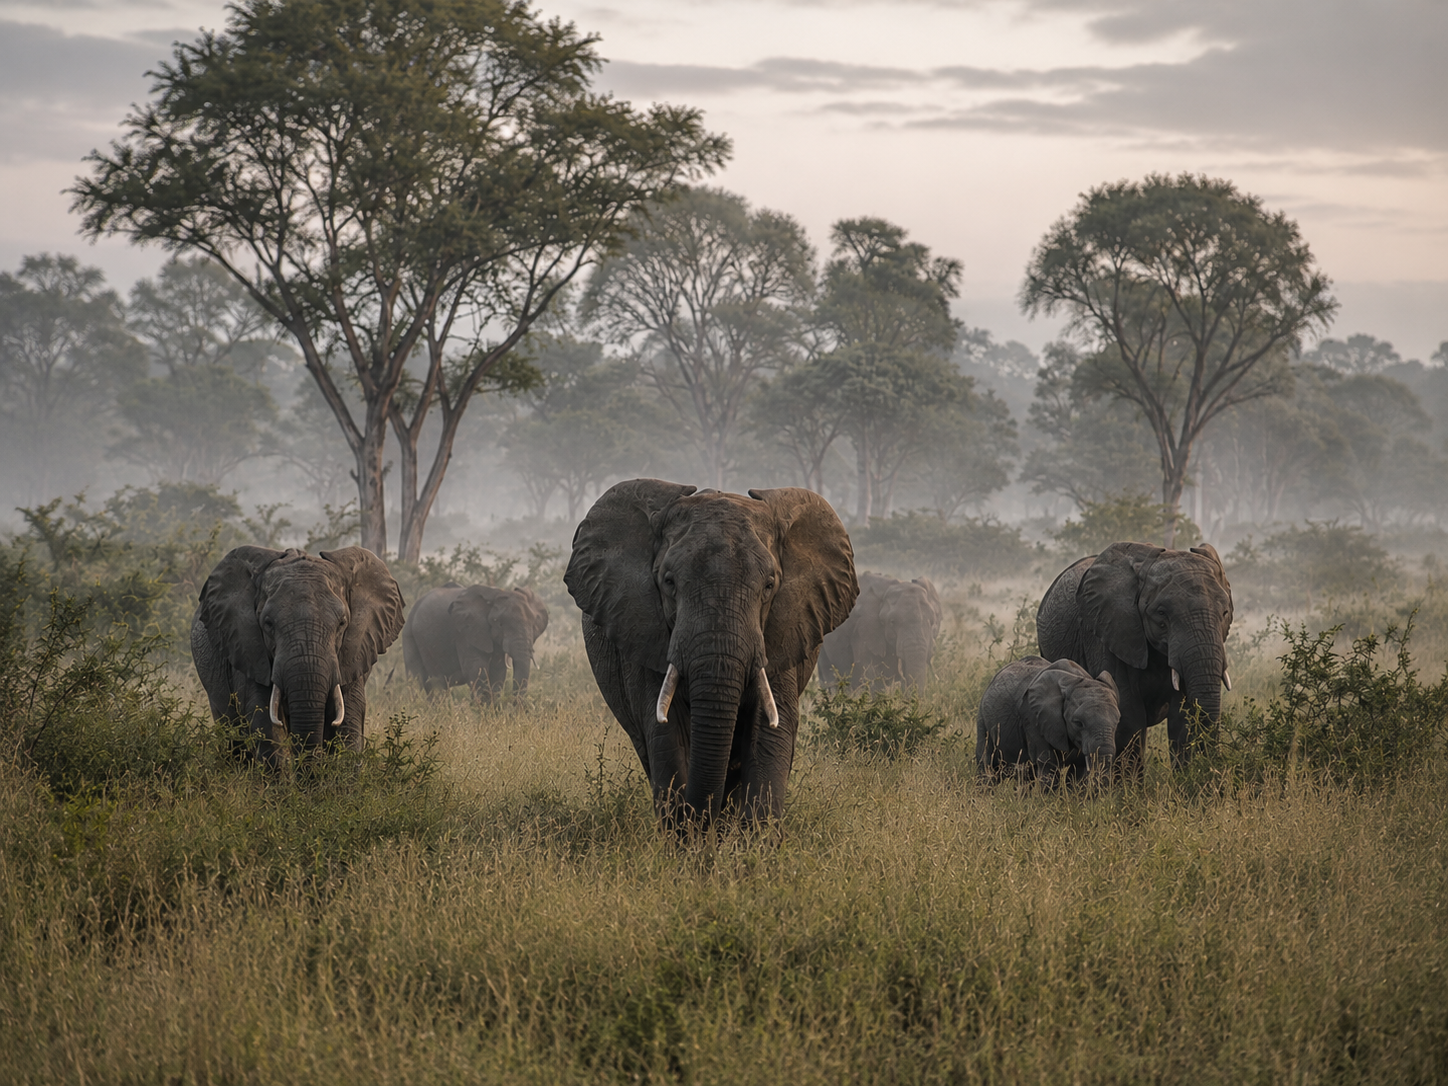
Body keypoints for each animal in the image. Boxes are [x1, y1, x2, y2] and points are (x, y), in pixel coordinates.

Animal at [190, 545, 405, 764]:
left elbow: (349, 721)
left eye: (342, 623)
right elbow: (264, 718)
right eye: (268, 624)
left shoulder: (353, 653)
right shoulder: (248, 650)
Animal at [401, 582, 549, 702]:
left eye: (534, 626)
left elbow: (498, 672)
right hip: (409, 634)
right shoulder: (466, 632)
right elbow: (476, 670)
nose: (513, 706)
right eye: (499, 624)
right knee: (416, 679)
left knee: (435, 686)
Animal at [565, 479, 858, 830]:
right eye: (668, 582)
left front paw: (754, 840)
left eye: (769, 586)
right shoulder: (644, 630)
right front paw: (688, 836)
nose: (705, 820)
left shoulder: (782, 631)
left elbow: (770, 730)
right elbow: (667, 733)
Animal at [976, 656, 1119, 785]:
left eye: (1117, 722)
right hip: (982, 717)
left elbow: (1078, 769)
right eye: (1078, 723)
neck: (1076, 680)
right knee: (985, 764)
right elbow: (1048, 765)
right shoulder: (1034, 717)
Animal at [1036, 541, 1233, 776]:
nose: (1214, 769)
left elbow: (1183, 716)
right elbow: (1129, 714)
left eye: (1225, 613)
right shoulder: (1107, 632)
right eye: (1161, 614)